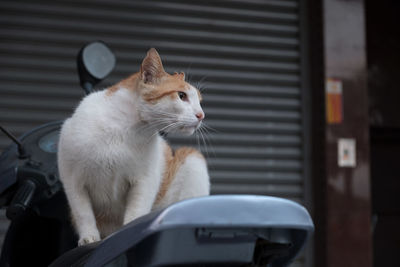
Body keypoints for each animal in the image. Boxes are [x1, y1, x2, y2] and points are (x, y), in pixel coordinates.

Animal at [58, 48, 212, 247]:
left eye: (199, 101)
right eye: (181, 96)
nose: (201, 115)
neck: (124, 128)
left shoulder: (144, 181)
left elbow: (135, 213)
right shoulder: (73, 180)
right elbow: (83, 213)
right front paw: (89, 238)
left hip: (193, 159)